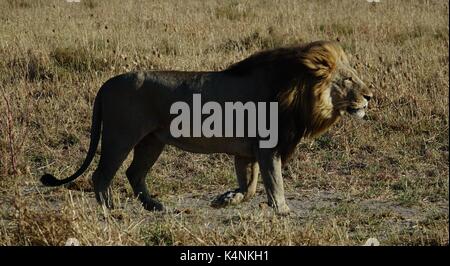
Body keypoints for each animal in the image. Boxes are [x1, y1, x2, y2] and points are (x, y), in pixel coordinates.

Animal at [41, 40, 372, 214]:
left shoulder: (246, 152)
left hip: (152, 141)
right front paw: (283, 211)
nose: (370, 96)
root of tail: (106, 84)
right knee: (102, 174)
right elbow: (273, 181)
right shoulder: (268, 147)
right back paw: (110, 210)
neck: (298, 91)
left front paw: (227, 199)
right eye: (348, 80)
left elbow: (250, 184)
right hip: (121, 137)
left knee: (133, 173)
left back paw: (154, 206)